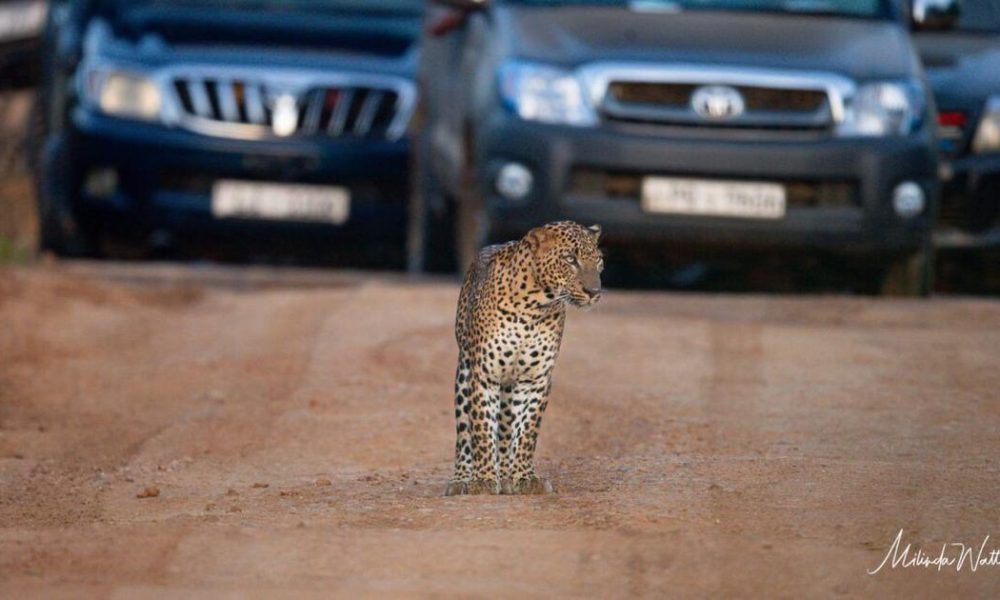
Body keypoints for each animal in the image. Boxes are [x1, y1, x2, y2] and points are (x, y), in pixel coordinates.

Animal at [445, 220, 604, 496]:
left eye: (599, 261)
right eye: (570, 259)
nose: (594, 291)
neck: (534, 306)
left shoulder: (536, 379)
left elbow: (527, 431)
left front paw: (524, 477)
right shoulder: (484, 374)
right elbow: (482, 428)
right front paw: (483, 479)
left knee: (506, 427)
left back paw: (507, 476)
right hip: (464, 372)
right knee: (465, 431)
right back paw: (462, 479)